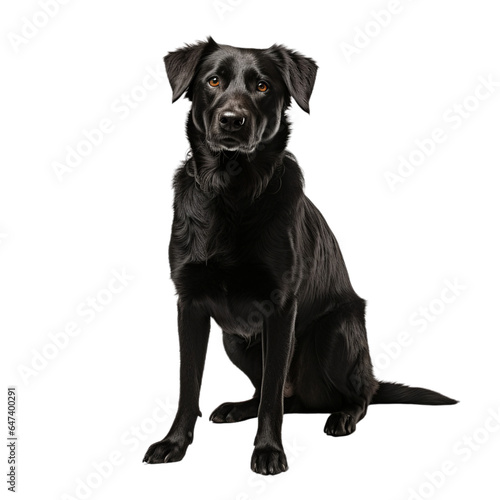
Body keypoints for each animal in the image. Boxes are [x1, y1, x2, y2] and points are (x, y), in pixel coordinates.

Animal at [142, 37, 458, 474]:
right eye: (213, 81)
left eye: (262, 86)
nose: (232, 120)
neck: (232, 190)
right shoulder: (189, 304)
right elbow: (189, 385)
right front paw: (174, 443)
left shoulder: (280, 308)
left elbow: (273, 395)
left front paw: (268, 451)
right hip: (234, 340)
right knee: (279, 396)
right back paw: (237, 408)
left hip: (332, 335)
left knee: (356, 395)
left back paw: (342, 417)